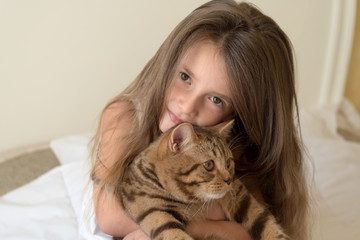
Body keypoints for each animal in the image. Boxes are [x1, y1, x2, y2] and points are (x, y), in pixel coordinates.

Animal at [115, 122, 290, 240]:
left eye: (228, 162)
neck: (193, 201)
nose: (229, 180)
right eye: (209, 165)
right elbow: (175, 235)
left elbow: (264, 220)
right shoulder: (155, 212)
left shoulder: (240, 195)